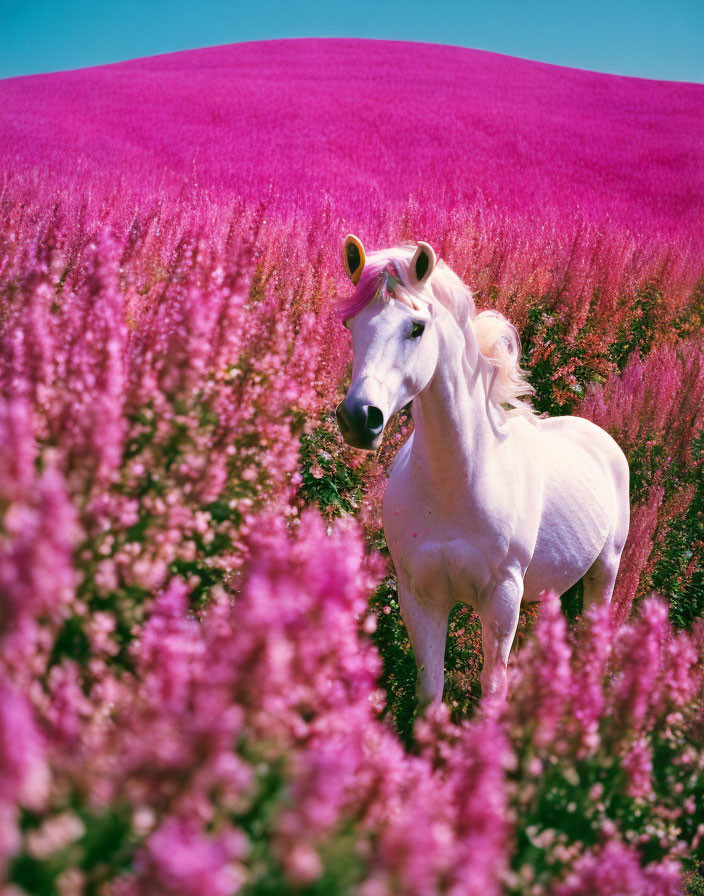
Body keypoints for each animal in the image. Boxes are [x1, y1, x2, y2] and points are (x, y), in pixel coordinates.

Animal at [338, 236, 628, 708]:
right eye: (350, 325)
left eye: (416, 328)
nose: (360, 419)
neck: (454, 486)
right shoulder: (420, 599)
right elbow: (430, 692)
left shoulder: (502, 599)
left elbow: (493, 689)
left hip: (605, 571)